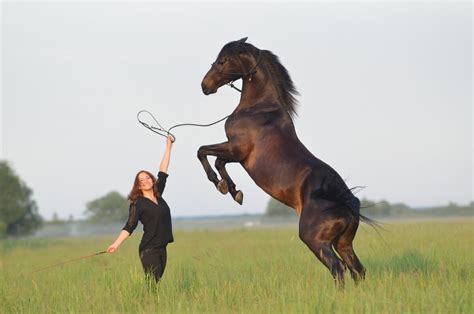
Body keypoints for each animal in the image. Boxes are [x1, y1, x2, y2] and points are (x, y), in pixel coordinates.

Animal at [198, 37, 372, 288]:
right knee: (357, 270)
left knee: (338, 269)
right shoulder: (235, 153)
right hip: (343, 243)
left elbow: (204, 153)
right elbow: (218, 161)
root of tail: (345, 204)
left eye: (223, 60)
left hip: (316, 241)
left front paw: (222, 185)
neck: (258, 108)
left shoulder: (237, 151)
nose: (205, 85)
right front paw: (233, 191)